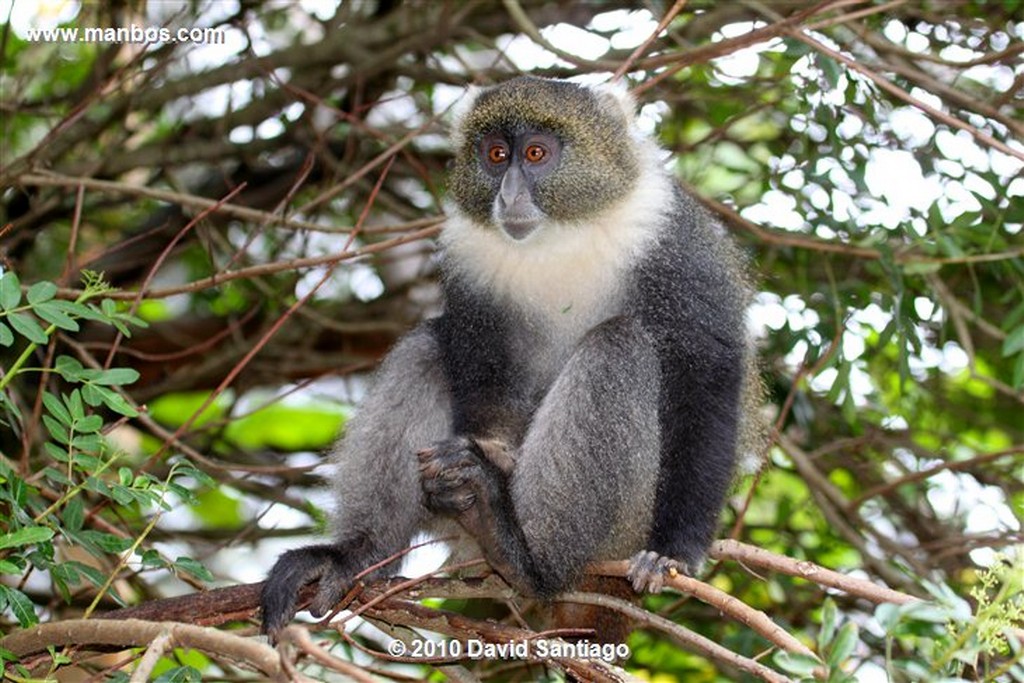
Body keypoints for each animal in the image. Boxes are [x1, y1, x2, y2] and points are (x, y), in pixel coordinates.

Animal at [262, 77, 761, 643]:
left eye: (537, 154)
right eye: (497, 155)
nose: (509, 195)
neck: (562, 235)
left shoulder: (674, 244)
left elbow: (706, 376)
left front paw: (674, 551)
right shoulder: (470, 262)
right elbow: (480, 360)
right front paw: (488, 453)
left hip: (624, 525)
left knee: (619, 345)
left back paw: (526, 556)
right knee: (428, 344)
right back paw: (359, 553)